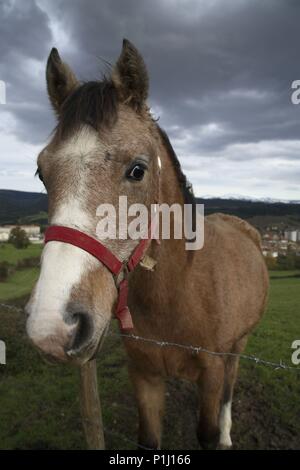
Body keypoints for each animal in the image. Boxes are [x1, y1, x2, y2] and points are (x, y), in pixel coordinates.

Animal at [26, 38, 270, 450]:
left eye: (137, 170)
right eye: (42, 173)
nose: (53, 327)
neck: (178, 293)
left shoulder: (212, 371)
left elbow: (209, 424)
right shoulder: (144, 377)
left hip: (237, 347)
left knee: (230, 387)